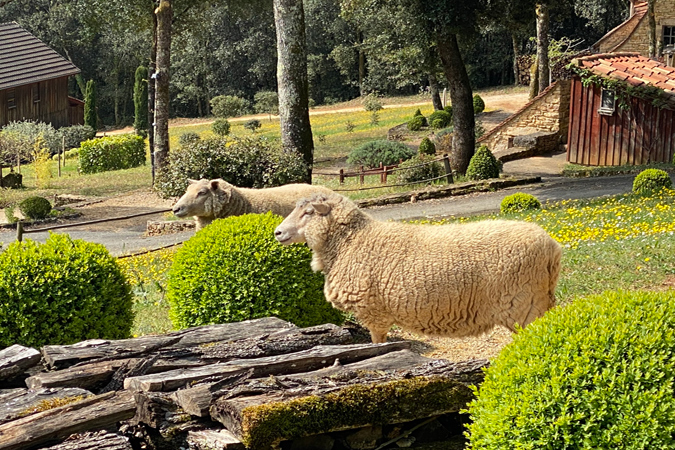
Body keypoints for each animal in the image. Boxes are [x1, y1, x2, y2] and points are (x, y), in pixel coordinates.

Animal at [272, 192, 564, 342]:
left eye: (308, 212)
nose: (277, 233)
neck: (352, 241)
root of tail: (552, 246)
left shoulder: (373, 312)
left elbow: (378, 343)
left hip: (524, 305)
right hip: (538, 303)